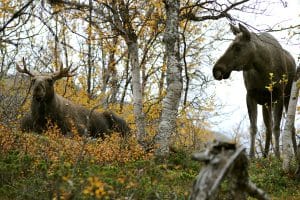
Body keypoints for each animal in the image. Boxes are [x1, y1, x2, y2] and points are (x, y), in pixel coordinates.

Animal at [212, 23, 296, 158]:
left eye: (237, 47)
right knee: (268, 127)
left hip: (288, 95)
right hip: (267, 103)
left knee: (290, 126)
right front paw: (252, 156)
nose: (216, 69)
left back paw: (294, 154)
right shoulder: (251, 95)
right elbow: (253, 127)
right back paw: (265, 155)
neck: (263, 68)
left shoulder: (279, 96)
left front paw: (278, 156)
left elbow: (277, 127)